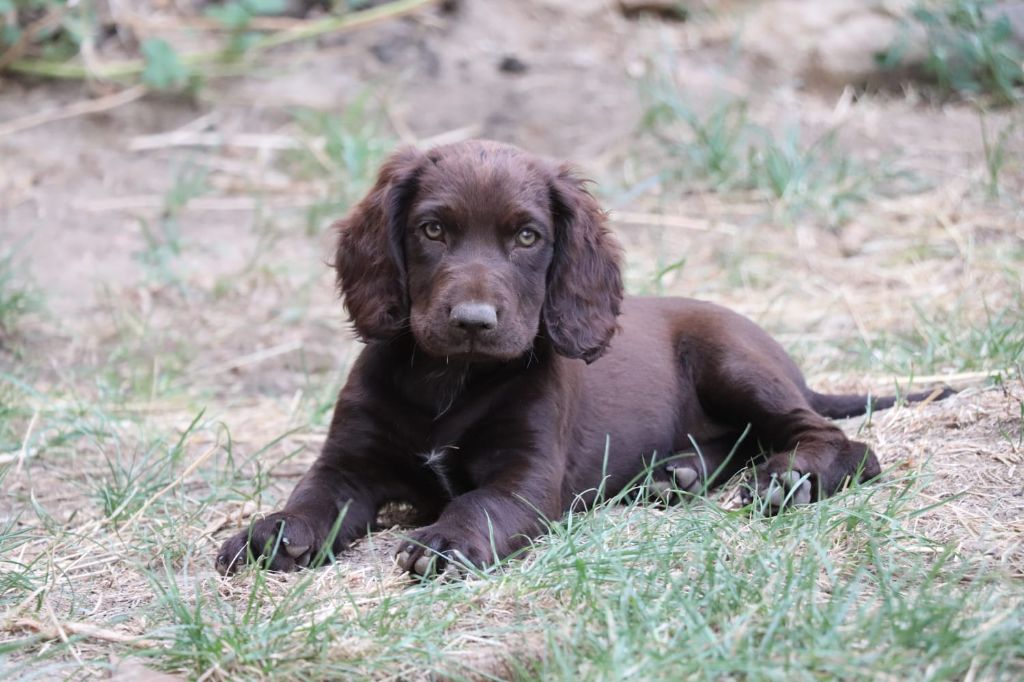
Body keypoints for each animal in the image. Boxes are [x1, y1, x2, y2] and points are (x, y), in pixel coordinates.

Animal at [216, 140, 950, 577]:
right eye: (432, 230)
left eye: (527, 237)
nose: (473, 322)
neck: (448, 379)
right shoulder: (349, 462)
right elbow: (313, 496)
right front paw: (272, 532)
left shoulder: (528, 474)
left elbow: (479, 502)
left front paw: (445, 543)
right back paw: (676, 475)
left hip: (733, 362)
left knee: (835, 441)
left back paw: (789, 479)